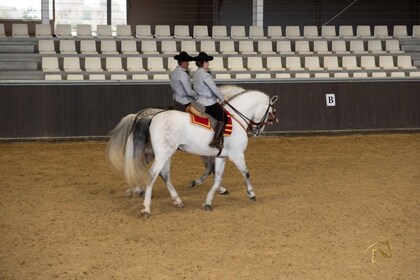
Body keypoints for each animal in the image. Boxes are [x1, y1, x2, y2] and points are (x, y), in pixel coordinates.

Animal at [106, 86, 278, 218]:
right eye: (270, 112)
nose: (258, 130)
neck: (234, 119)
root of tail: (150, 117)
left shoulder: (221, 156)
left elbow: (217, 177)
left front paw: (208, 200)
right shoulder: (236, 155)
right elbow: (245, 173)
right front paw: (251, 193)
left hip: (164, 154)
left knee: (161, 173)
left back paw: (174, 200)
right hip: (161, 154)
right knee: (152, 174)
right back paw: (146, 207)